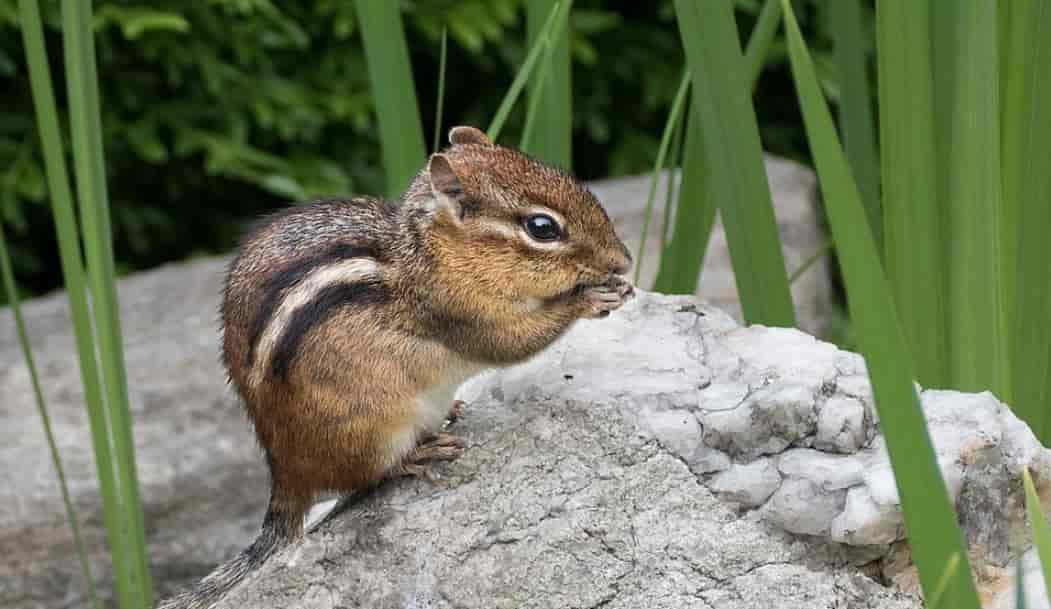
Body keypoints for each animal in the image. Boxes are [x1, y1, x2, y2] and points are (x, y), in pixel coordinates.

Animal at [158, 126, 633, 609]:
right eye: (542, 228)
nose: (624, 260)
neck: (433, 253)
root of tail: (285, 472)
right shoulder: (459, 311)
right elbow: (512, 343)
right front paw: (590, 298)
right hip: (373, 427)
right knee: (369, 476)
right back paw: (417, 453)